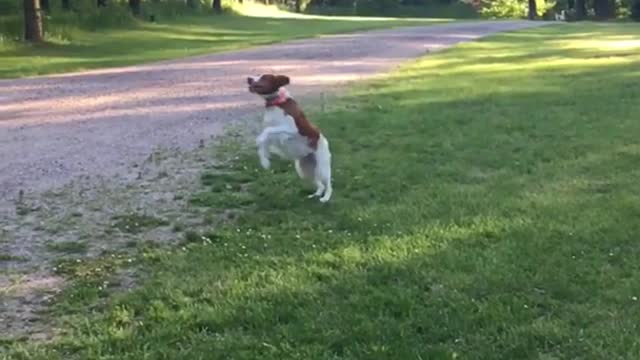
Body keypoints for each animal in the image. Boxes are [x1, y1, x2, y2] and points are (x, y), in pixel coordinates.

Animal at [248, 74, 332, 202]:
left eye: (264, 77)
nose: (248, 79)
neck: (276, 102)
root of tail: (324, 140)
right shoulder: (273, 136)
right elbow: (264, 141)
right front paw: (265, 161)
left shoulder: (291, 128)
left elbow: (266, 132)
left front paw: (262, 150)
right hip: (304, 169)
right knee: (320, 184)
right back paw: (316, 195)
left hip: (322, 167)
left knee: (328, 185)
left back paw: (325, 198)